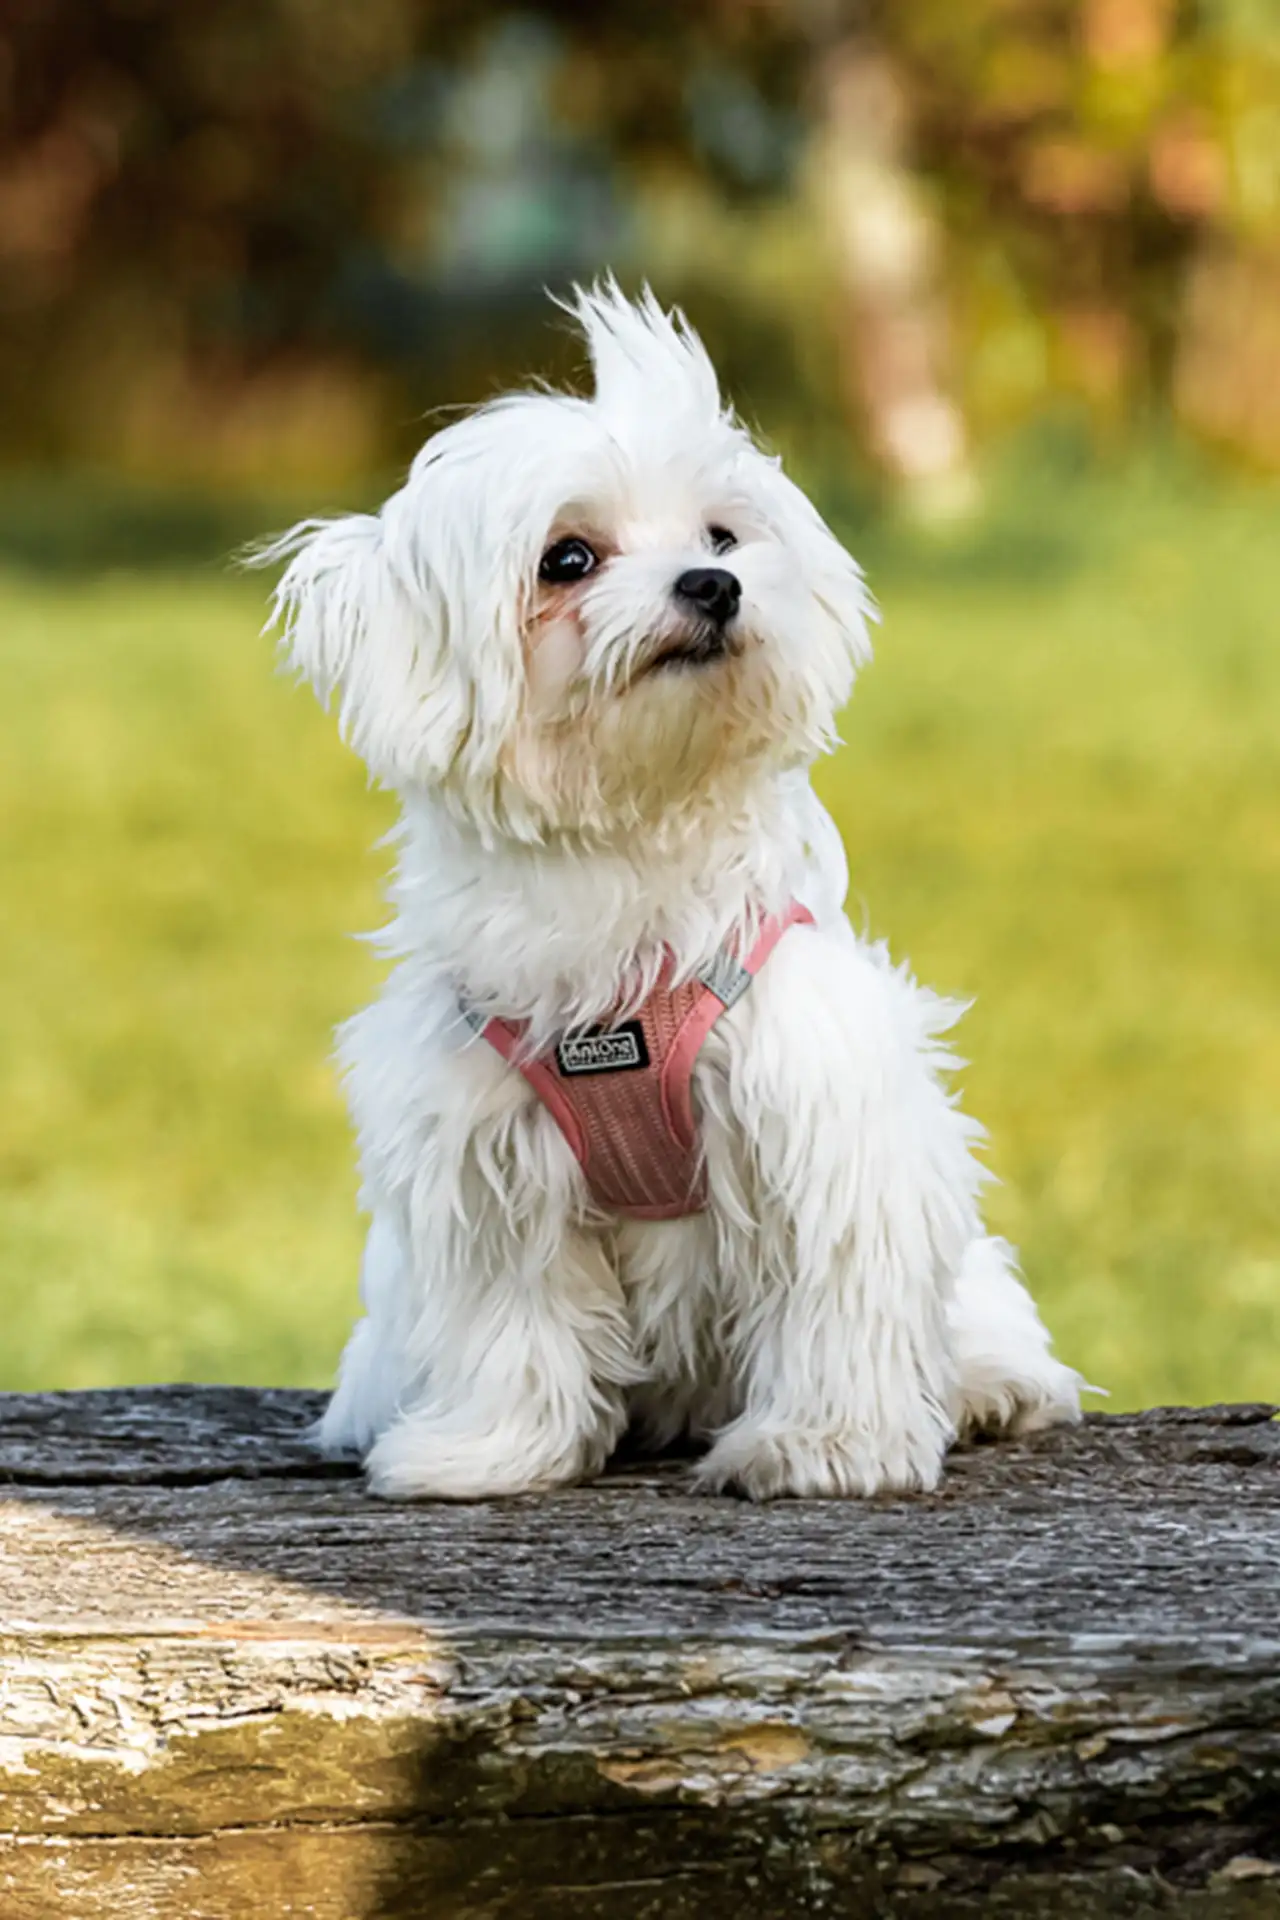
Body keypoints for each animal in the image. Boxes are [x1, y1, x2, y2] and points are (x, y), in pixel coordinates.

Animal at [260, 280, 1090, 1497]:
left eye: (720, 535)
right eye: (567, 559)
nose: (713, 584)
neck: (628, 830)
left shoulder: (817, 1108)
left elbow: (836, 1295)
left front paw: (825, 1446)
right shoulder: (483, 1150)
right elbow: (511, 1319)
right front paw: (489, 1450)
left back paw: (990, 1385)